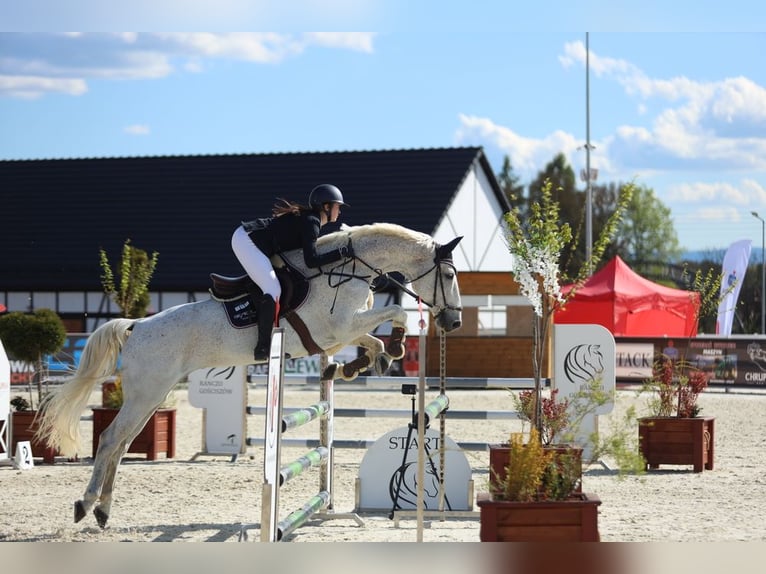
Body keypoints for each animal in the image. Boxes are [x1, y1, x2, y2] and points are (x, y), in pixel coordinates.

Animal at [36, 223, 464, 528]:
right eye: (449, 276)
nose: (454, 322)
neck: (348, 270)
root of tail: (136, 326)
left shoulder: (342, 331)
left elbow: (372, 339)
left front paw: (361, 363)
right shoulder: (338, 328)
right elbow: (397, 312)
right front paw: (392, 348)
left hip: (152, 396)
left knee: (122, 445)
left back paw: (103, 510)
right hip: (146, 393)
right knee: (110, 439)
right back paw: (85, 504)